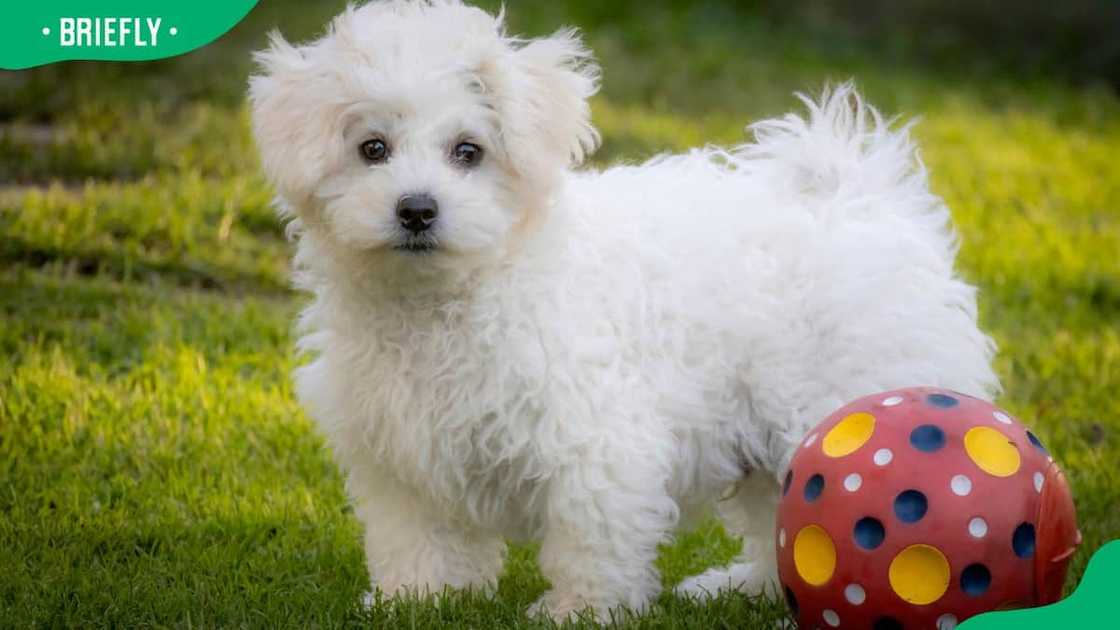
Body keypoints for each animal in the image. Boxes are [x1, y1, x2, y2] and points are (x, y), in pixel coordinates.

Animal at [252, 0, 999, 618]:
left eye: (468, 151)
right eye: (371, 149)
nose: (416, 209)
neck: (451, 296)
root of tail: (863, 194)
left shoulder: (592, 437)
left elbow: (590, 533)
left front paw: (581, 611)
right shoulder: (402, 450)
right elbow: (418, 533)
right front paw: (417, 598)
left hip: (836, 395)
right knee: (778, 520)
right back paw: (741, 586)